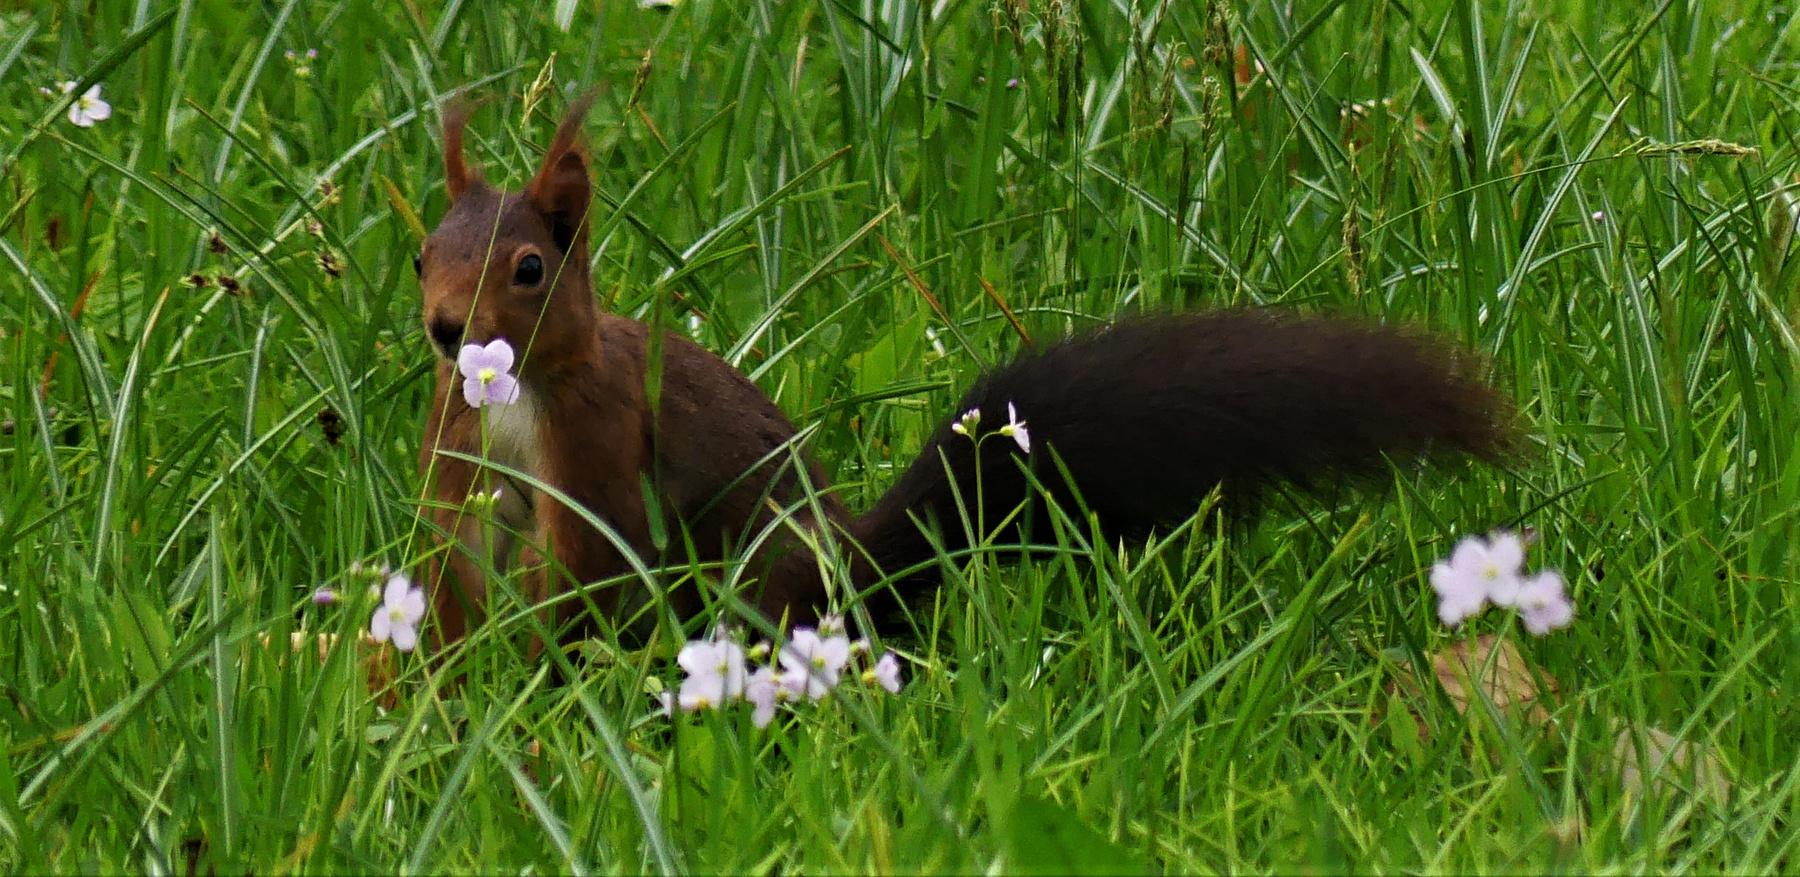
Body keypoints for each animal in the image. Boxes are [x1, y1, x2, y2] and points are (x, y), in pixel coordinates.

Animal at [414, 100, 1513, 647]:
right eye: (422, 251)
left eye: (529, 268)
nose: (444, 330)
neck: (515, 396)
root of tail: (852, 574)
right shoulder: (460, 445)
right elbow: (453, 554)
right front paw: (445, 679)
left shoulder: (597, 433)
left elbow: (590, 555)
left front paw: (530, 673)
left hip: (761, 576)